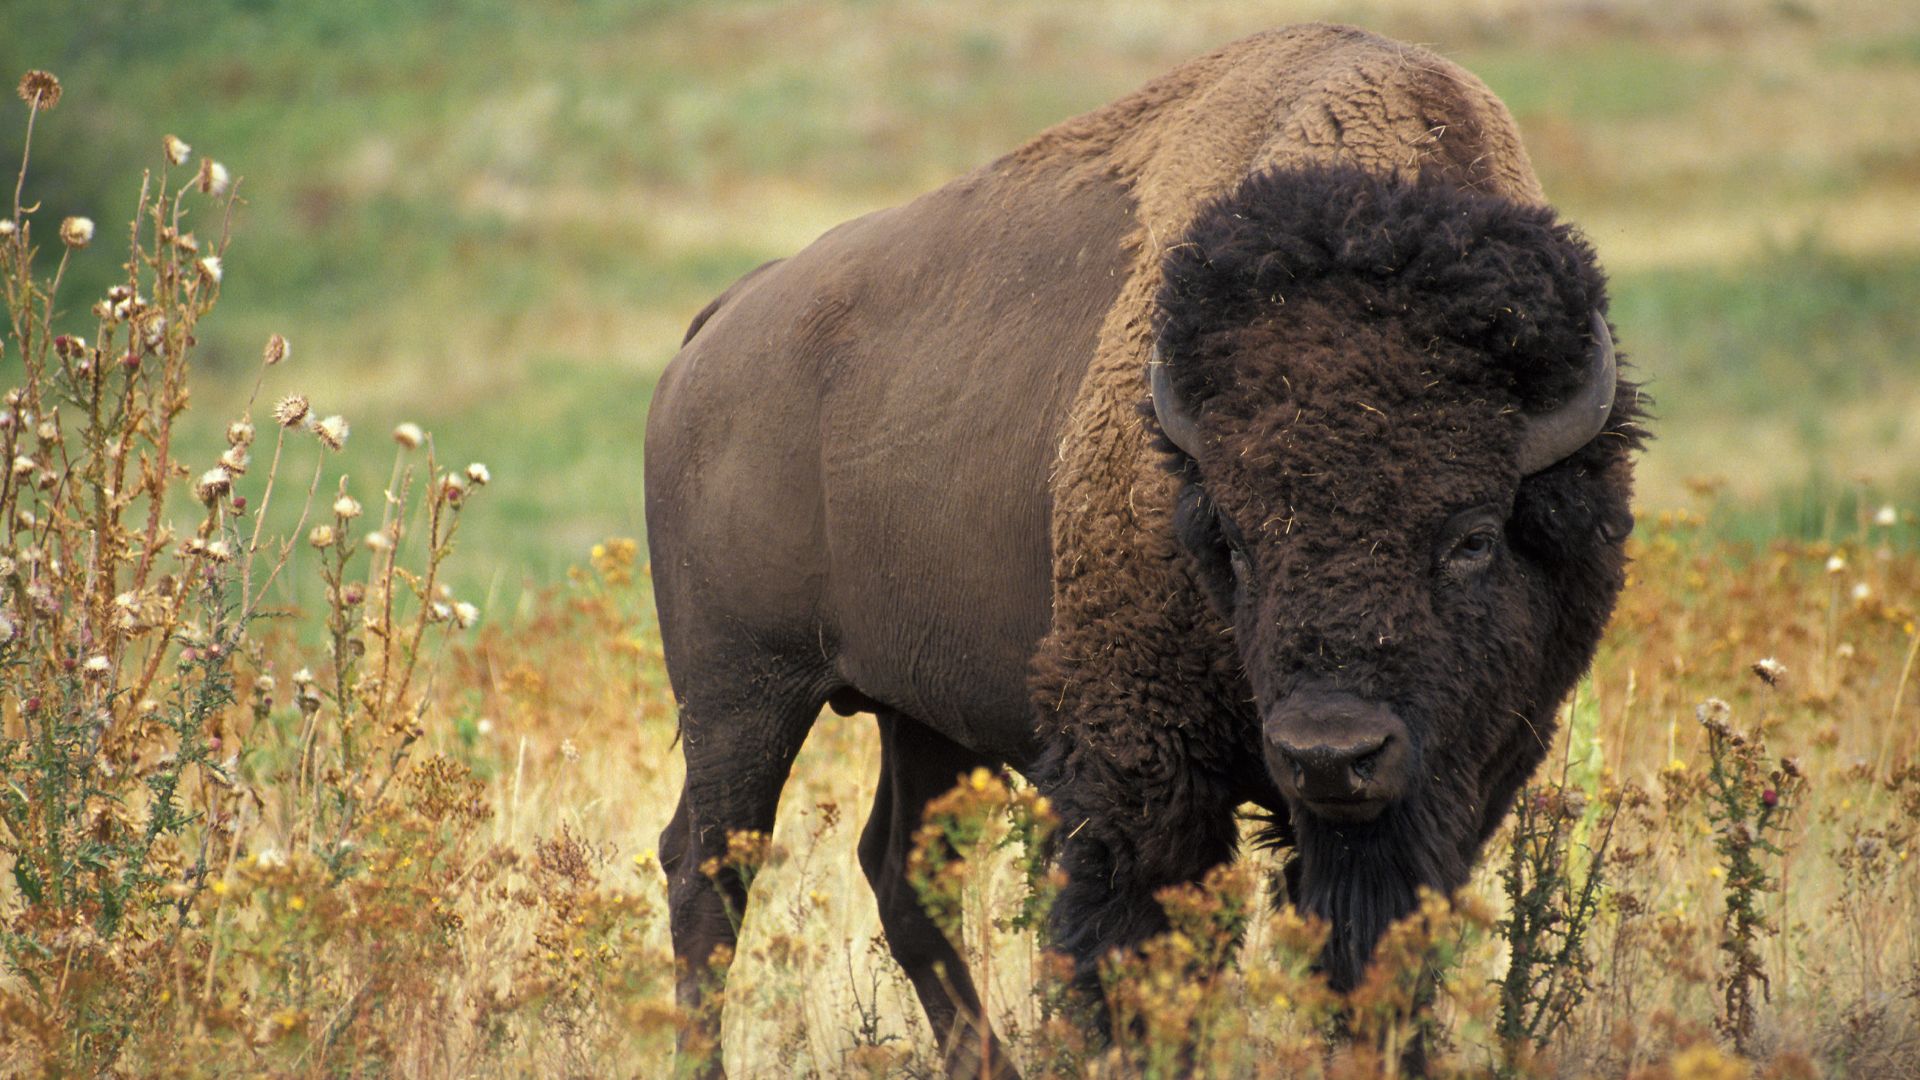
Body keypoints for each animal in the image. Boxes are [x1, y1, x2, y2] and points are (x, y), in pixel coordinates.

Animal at [644, 22, 1644, 1077]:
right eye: (1233, 541)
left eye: (1474, 538)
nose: (1330, 754)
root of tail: (720, 327)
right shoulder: (1139, 766)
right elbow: (1134, 952)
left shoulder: (1460, 777)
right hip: (741, 694)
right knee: (708, 867)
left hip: (916, 710)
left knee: (900, 869)